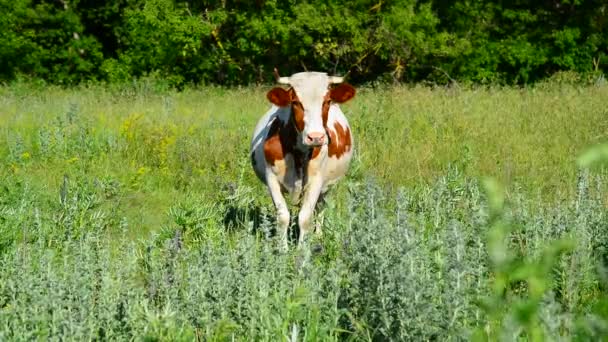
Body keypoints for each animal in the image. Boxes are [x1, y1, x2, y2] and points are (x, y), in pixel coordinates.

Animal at [251, 71, 356, 248]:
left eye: (327, 101)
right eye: (295, 102)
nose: (316, 137)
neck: (299, 153)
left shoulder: (317, 181)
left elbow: (305, 217)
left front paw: (302, 249)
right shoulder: (271, 177)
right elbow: (283, 216)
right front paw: (282, 249)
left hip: (327, 186)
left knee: (320, 207)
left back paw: (318, 235)